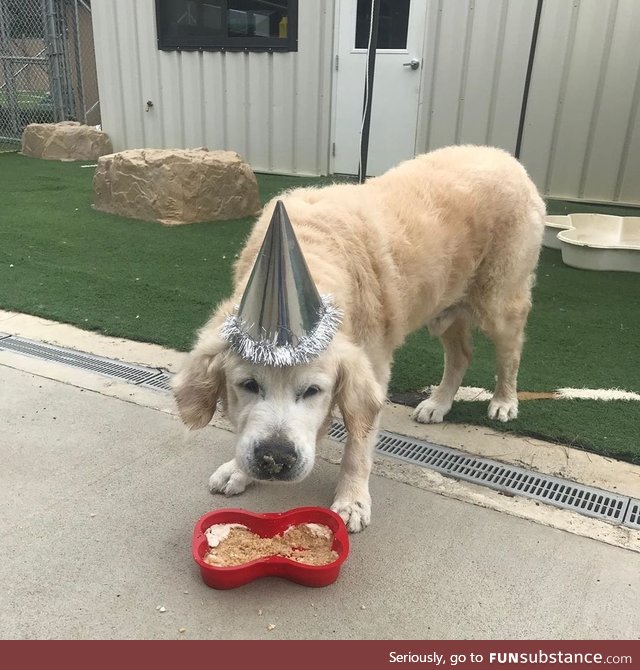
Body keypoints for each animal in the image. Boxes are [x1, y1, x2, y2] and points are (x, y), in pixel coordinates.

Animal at [171, 144, 544, 532]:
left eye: (313, 391)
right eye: (248, 385)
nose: (275, 458)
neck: (316, 255)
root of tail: (503, 155)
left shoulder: (373, 371)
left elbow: (358, 443)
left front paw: (352, 500)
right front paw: (238, 471)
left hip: (499, 302)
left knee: (510, 351)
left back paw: (504, 401)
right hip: (446, 305)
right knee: (461, 355)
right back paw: (438, 403)